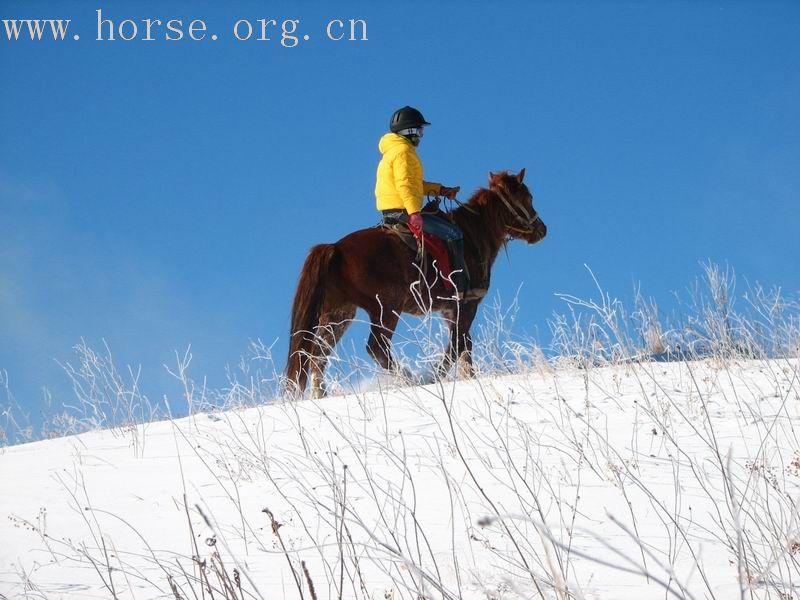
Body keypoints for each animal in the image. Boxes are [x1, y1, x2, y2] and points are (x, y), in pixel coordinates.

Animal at [284, 166, 548, 396]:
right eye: (527, 197)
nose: (542, 229)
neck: (473, 236)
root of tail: (335, 248)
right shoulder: (467, 305)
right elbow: (457, 346)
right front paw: (434, 376)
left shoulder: (451, 310)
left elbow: (464, 347)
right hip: (386, 309)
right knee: (376, 348)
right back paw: (410, 379)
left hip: (339, 314)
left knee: (318, 353)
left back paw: (320, 393)